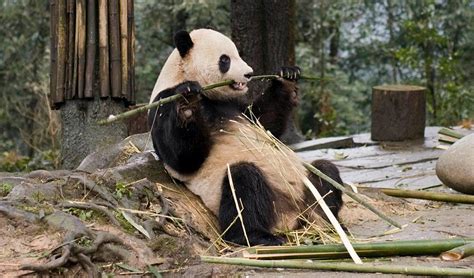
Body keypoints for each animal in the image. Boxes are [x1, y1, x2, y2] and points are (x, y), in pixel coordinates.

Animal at [147, 28, 340, 245]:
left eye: (238, 54)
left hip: (305, 188)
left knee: (325, 173)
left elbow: (264, 121)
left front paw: (287, 76)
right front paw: (187, 101)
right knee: (243, 185)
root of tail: (292, 219)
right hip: (254, 198)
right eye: (225, 59)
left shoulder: (235, 105)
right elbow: (183, 158)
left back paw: (328, 221)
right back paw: (256, 236)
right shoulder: (162, 104)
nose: (249, 73)